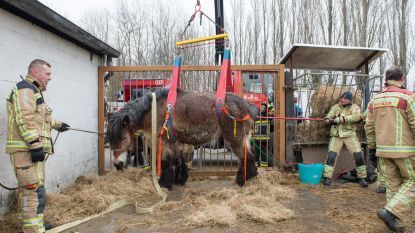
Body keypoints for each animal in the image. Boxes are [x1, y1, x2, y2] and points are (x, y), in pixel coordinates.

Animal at [105, 87, 258, 187]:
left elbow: (166, 162)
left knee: (246, 157)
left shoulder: (163, 141)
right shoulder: (174, 141)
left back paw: (242, 180)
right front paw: (179, 179)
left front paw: (164, 183)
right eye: (110, 139)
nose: (118, 164)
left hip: (234, 138)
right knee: (248, 156)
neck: (155, 109)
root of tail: (246, 105)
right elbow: (177, 159)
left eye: (124, 138)